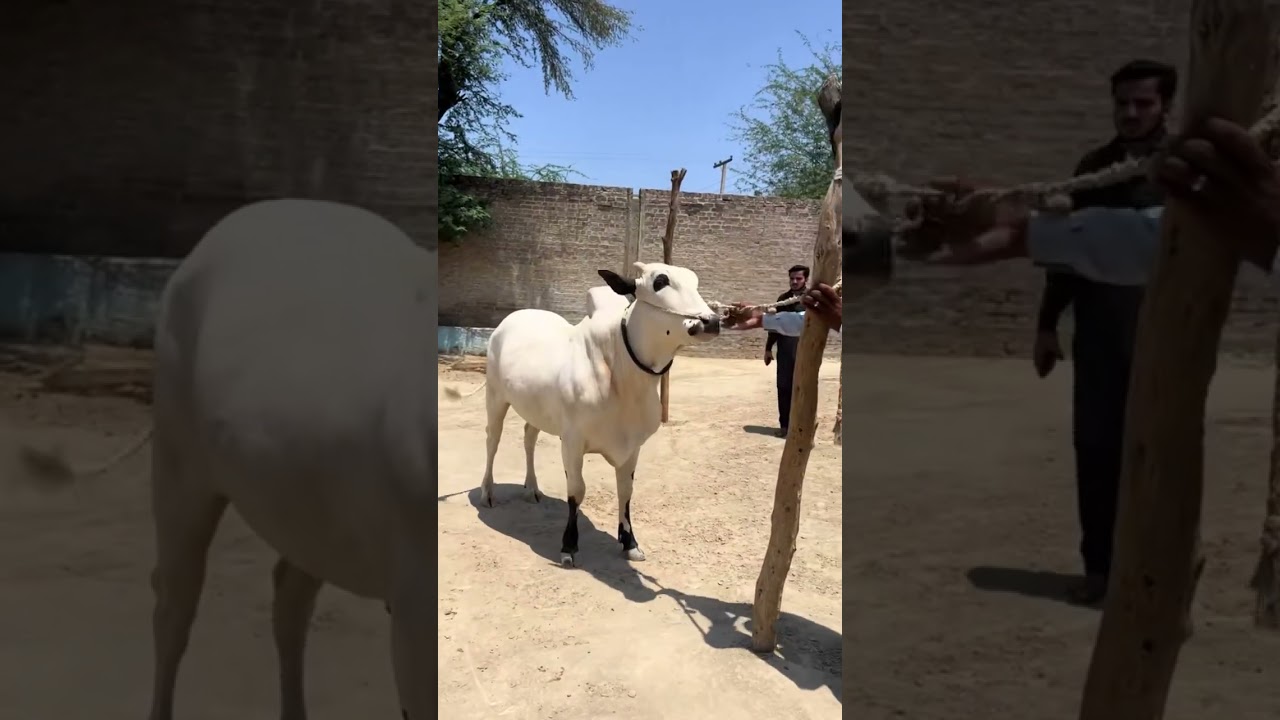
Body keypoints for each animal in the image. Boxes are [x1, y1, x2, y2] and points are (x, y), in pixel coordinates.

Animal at [465, 261, 721, 567]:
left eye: (695, 282)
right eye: (661, 281)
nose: (710, 321)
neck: (622, 374)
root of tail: (511, 320)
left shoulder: (632, 447)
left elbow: (625, 491)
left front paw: (630, 543)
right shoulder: (572, 442)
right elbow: (577, 490)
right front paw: (568, 546)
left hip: (536, 408)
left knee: (529, 438)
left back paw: (532, 489)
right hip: (495, 397)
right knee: (492, 441)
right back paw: (488, 493)